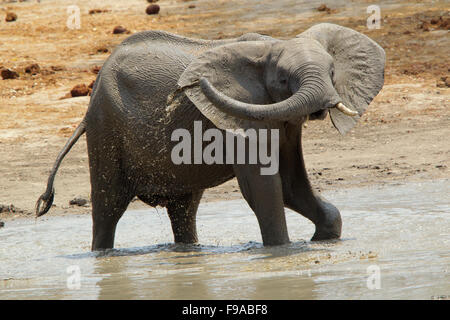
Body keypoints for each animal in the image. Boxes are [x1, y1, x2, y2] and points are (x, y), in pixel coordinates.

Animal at [37, 23, 384, 251]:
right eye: (285, 79)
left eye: (332, 72)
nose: (324, 105)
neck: (272, 44)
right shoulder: (245, 113)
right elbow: (262, 188)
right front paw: (281, 252)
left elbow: (289, 184)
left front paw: (323, 237)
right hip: (105, 129)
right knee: (108, 209)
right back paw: (103, 255)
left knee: (183, 210)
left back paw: (188, 252)